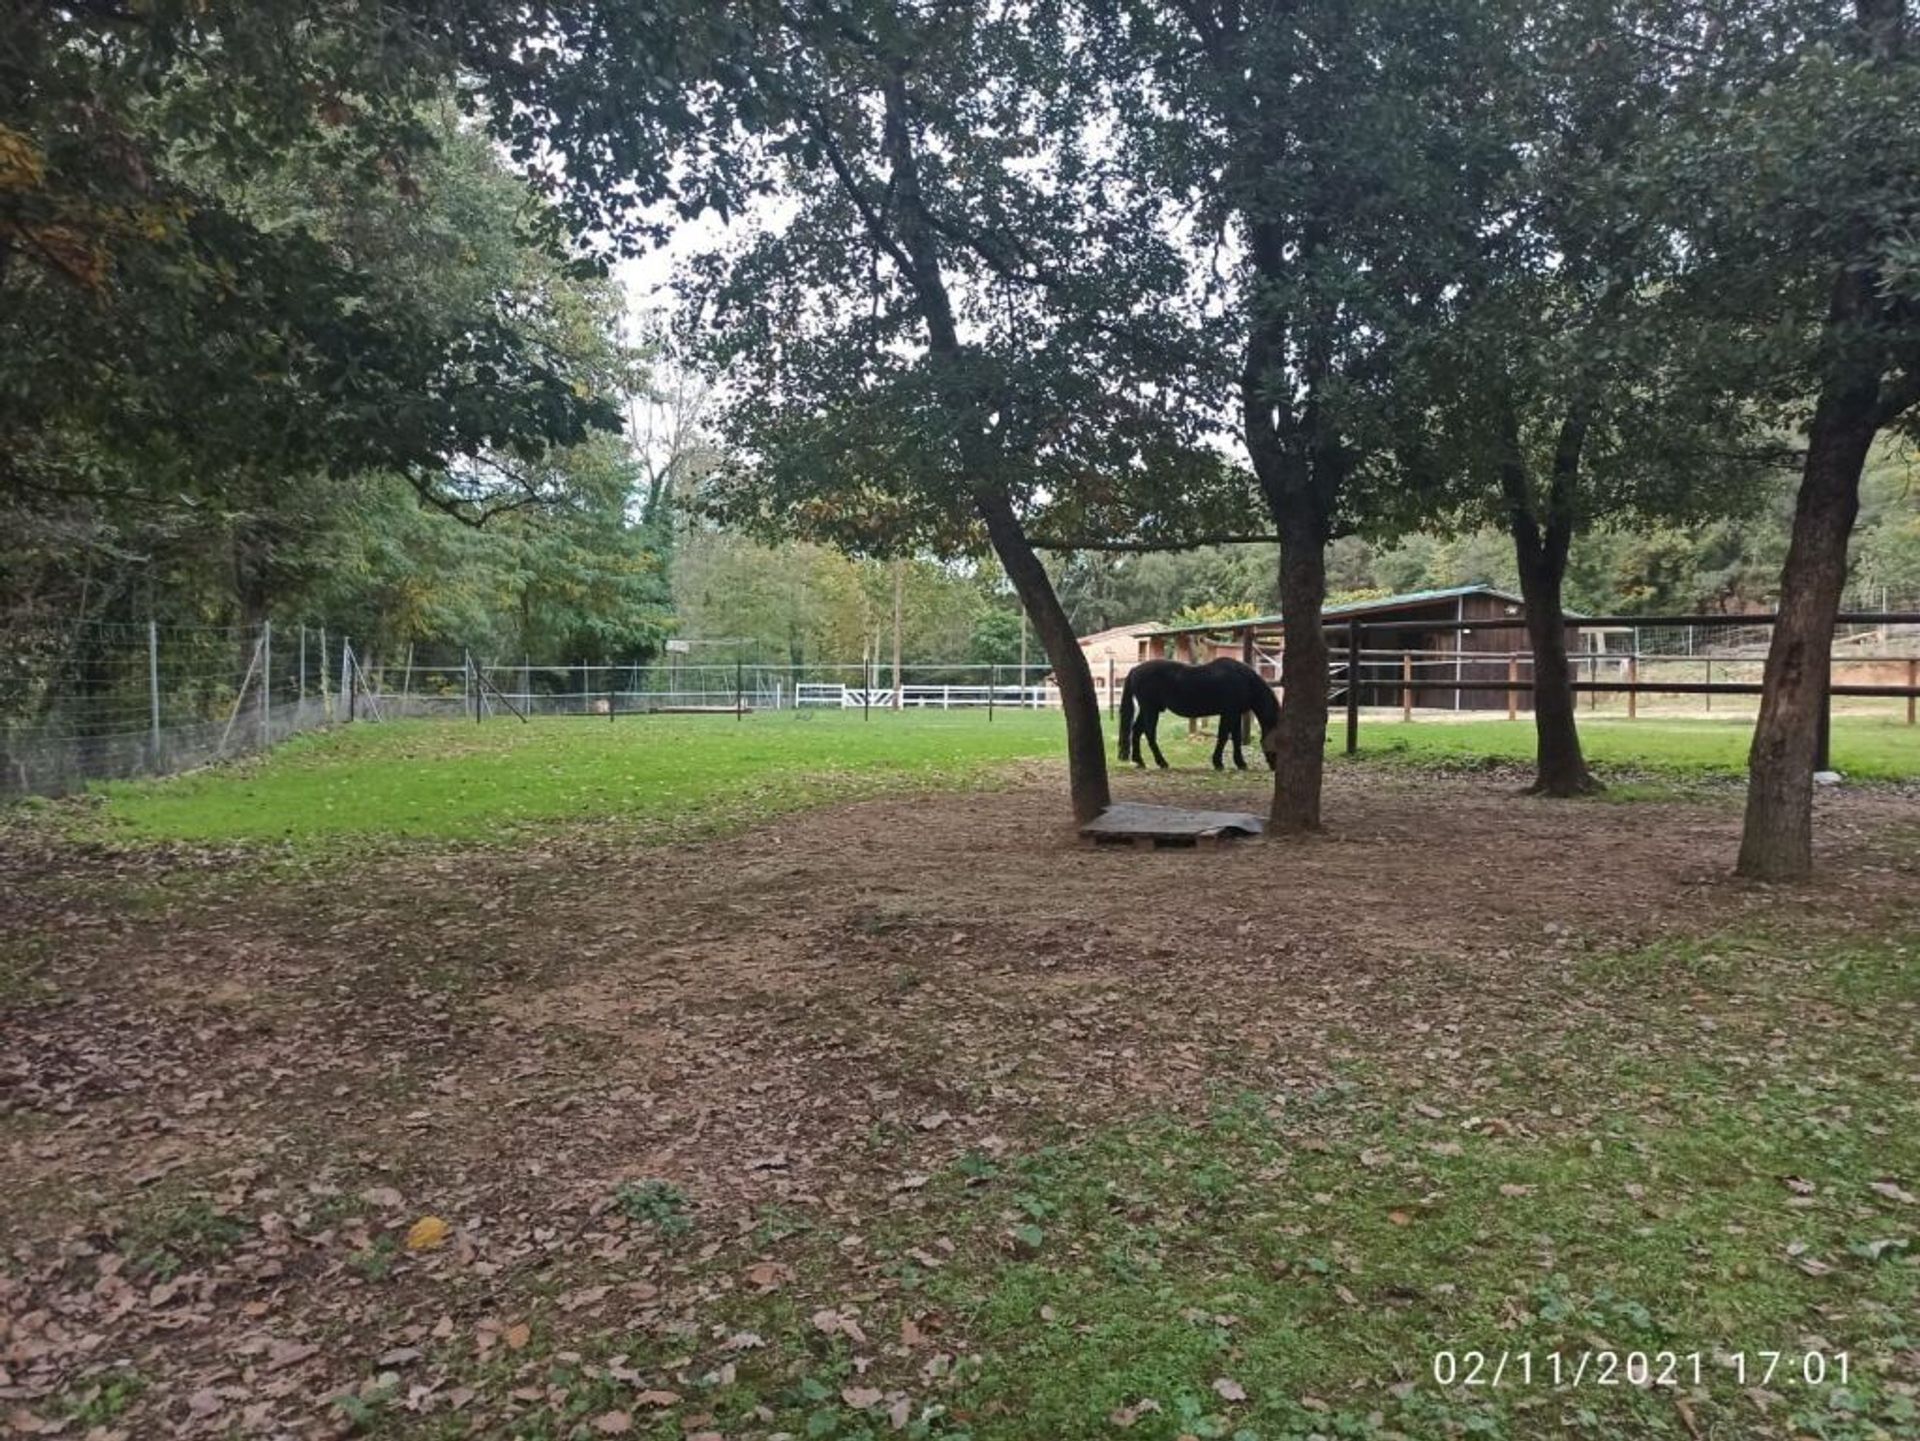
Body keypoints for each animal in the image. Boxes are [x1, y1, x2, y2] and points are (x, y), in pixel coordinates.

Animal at [1121, 660, 1282, 771]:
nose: (1275, 767)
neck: (1244, 680)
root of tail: (1135, 670)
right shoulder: (1229, 713)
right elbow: (1224, 737)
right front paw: (1219, 763)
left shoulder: (1234, 714)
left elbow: (1235, 738)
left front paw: (1240, 763)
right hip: (1150, 710)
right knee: (1149, 734)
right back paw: (1162, 762)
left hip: (1147, 710)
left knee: (1137, 731)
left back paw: (1139, 761)